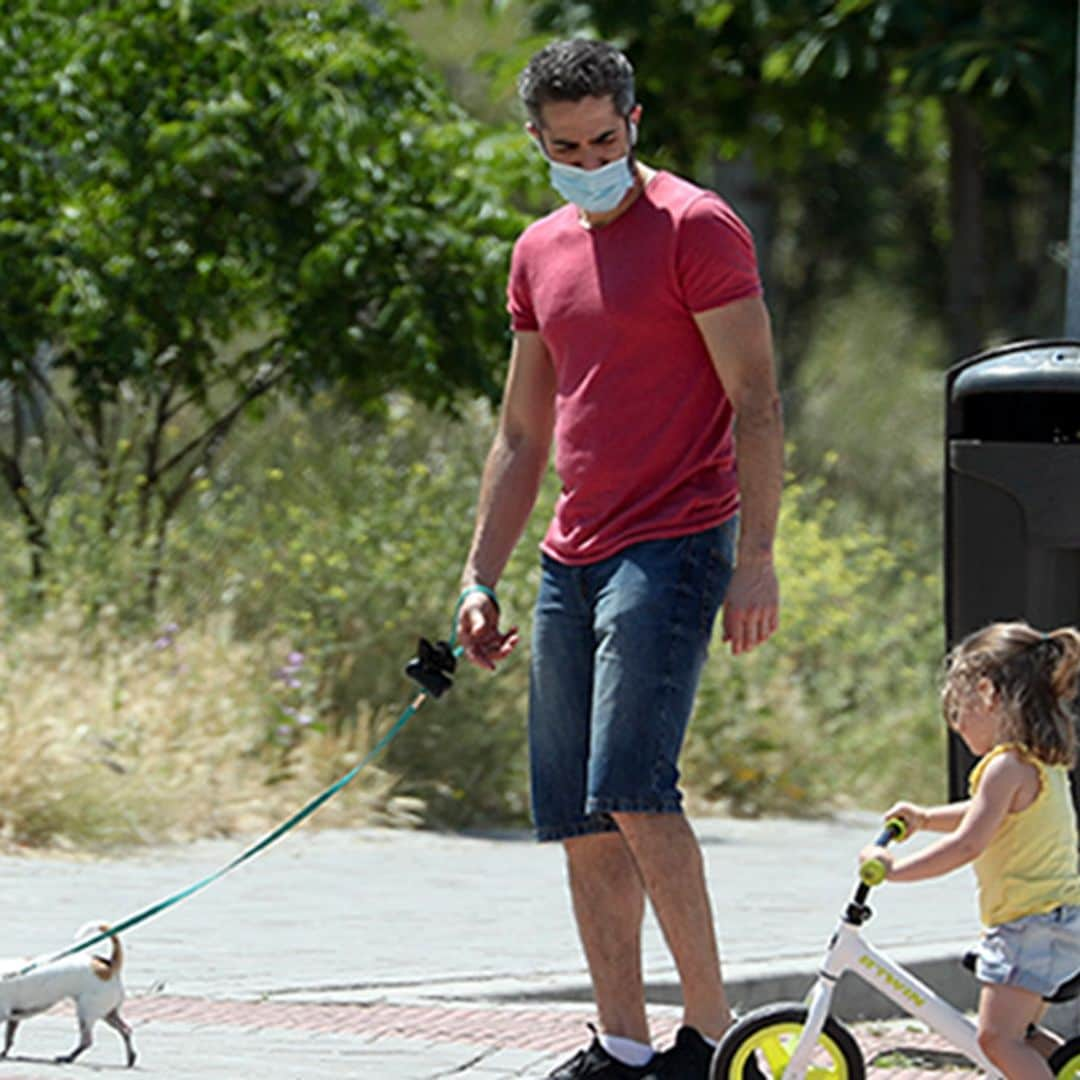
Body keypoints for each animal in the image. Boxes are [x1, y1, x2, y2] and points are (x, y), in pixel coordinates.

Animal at [0, 924, 138, 1067]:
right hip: (107, 1012)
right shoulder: (13, 1018)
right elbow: (9, 1038)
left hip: (86, 1012)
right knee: (126, 1030)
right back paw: (131, 1057)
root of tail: (109, 966)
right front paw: (3, 1053)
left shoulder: (3, 1014)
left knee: (87, 1041)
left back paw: (68, 1057)